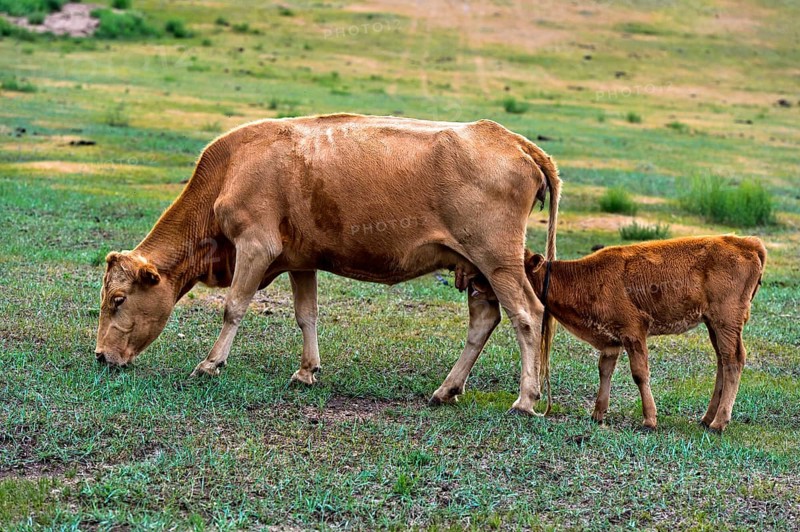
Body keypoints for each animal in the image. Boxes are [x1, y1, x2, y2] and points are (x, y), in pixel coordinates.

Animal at [95, 113, 561, 414]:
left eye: (118, 299)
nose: (100, 356)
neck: (230, 168)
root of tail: (510, 139)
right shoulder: (300, 259)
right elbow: (307, 314)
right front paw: (306, 371)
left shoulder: (255, 246)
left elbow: (234, 307)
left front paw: (210, 364)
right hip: (477, 267)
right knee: (483, 320)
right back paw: (446, 390)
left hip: (497, 260)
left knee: (527, 314)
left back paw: (525, 400)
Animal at [509, 235, 765, 431]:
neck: (587, 278)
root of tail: (747, 243)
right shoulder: (611, 340)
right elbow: (605, 370)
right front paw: (597, 414)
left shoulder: (633, 331)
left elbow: (640, 373)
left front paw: (649, 420)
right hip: (713, 324)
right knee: (722, 360)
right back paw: (706, 418)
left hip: (726, 321)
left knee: (733, 360)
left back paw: (718, 423)